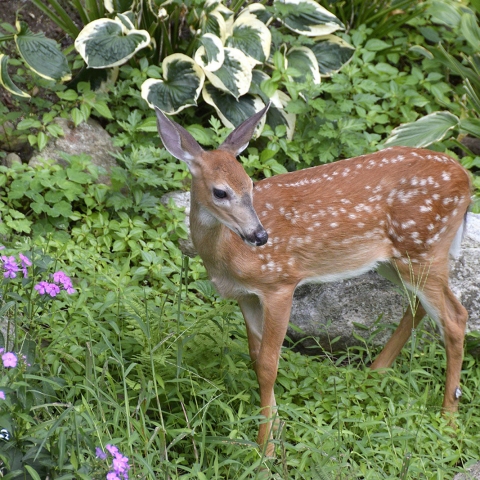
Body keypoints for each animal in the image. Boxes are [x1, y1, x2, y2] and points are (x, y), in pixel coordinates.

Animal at [155, 103, 472, 456]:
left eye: (250, 185)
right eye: (220, 192)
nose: (260, 235)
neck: (227, 255)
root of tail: (466, 178)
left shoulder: (280, 282)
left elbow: (269, 365)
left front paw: (265, 450)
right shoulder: (246, 295)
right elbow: (256, 357)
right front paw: (277, 428)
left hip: (423, 247)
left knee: (455, 317)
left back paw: (448, 418)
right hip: (397, 259)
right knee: (420, 307)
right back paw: (374, 373)